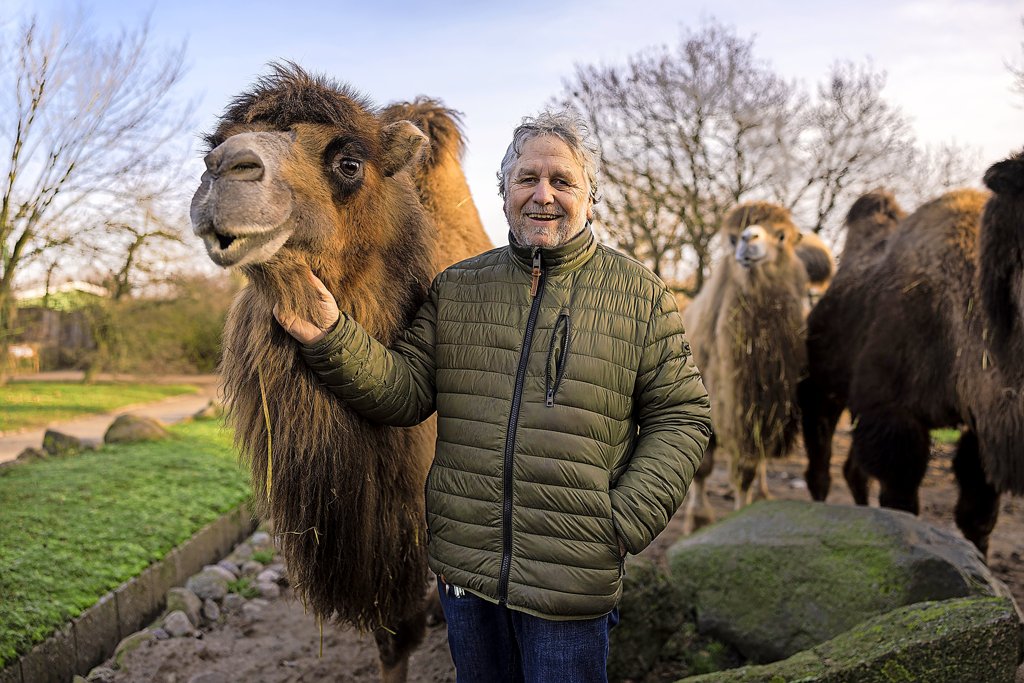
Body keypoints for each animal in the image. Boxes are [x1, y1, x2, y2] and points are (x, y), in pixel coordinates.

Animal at [679, 200, 831, 532]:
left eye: (782, 236)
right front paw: (699, 519)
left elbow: (750, 466)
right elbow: (710, 467)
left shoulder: (760, 406)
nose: (749, 240)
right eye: (732, 238)